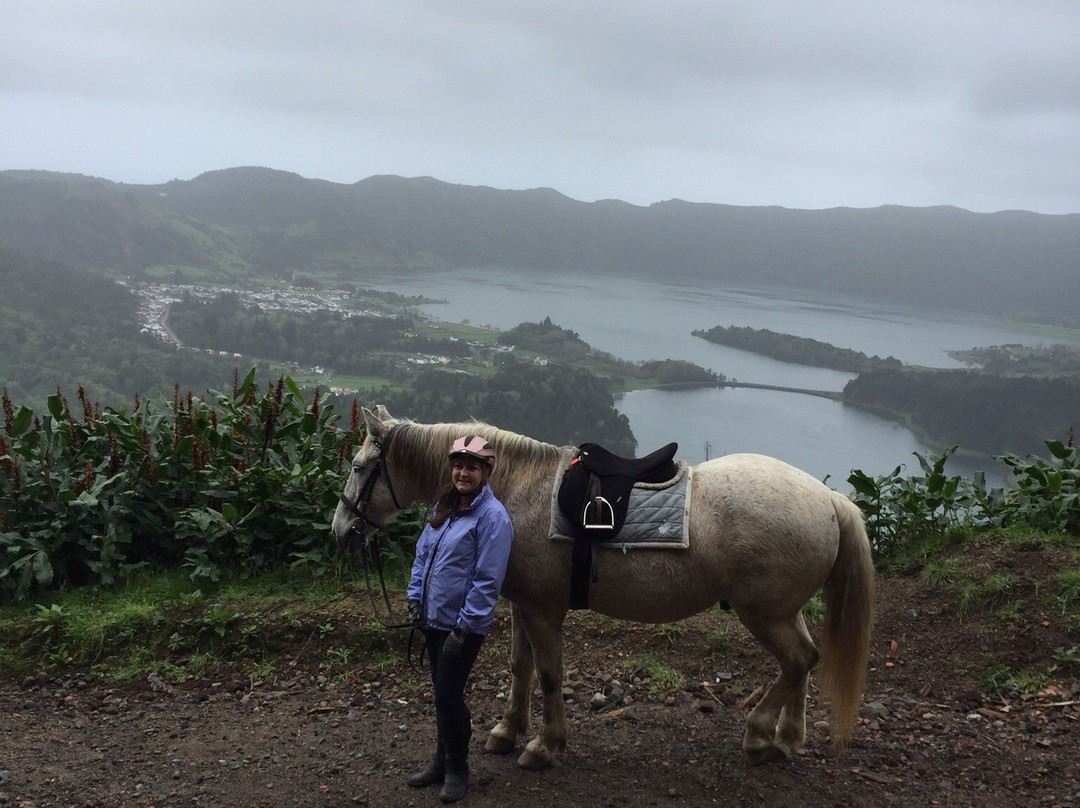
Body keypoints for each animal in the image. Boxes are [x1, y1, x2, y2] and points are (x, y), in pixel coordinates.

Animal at [332, 406, 872, 769]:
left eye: (358, 468)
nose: (341, 531)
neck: (517, 491)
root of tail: (828, 499)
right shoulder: (523, 604)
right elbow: (520, 669)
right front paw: (507, 730)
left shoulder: (544, 610)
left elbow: (549, 674)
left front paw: (544, 745)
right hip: (784, 610)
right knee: (804, 660)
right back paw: (788, 735)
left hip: (763, 613)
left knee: (799, 660)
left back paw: (760, 736)